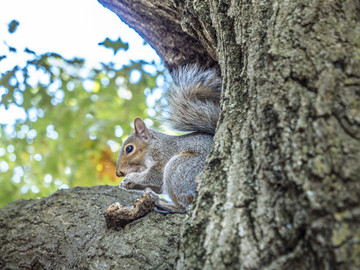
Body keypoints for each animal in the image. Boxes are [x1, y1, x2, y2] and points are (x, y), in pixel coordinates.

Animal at [116, 65, 221, 213]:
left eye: (129, 148)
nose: (118, 173)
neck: (153, 147)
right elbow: (157, 184)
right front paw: (127, 184)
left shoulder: (162, 157)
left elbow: (154, 176)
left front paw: (130, 178)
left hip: (180, 169)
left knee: (184, 207)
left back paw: (160, 202)